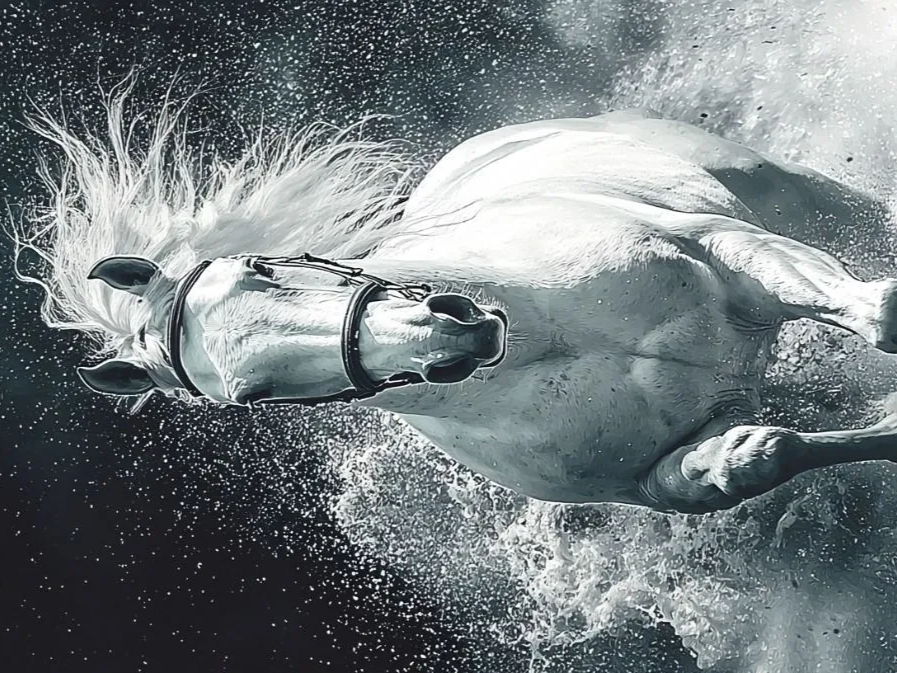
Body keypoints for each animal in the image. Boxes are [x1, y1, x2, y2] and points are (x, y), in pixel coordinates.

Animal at [14, 89, 897, 516]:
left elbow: (877, 315)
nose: (450, 340)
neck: (549, 336)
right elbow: (765, 454)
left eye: (259, 267)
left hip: (775, 190)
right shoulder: (665, 470)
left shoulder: (732, 255)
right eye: (253, 395)